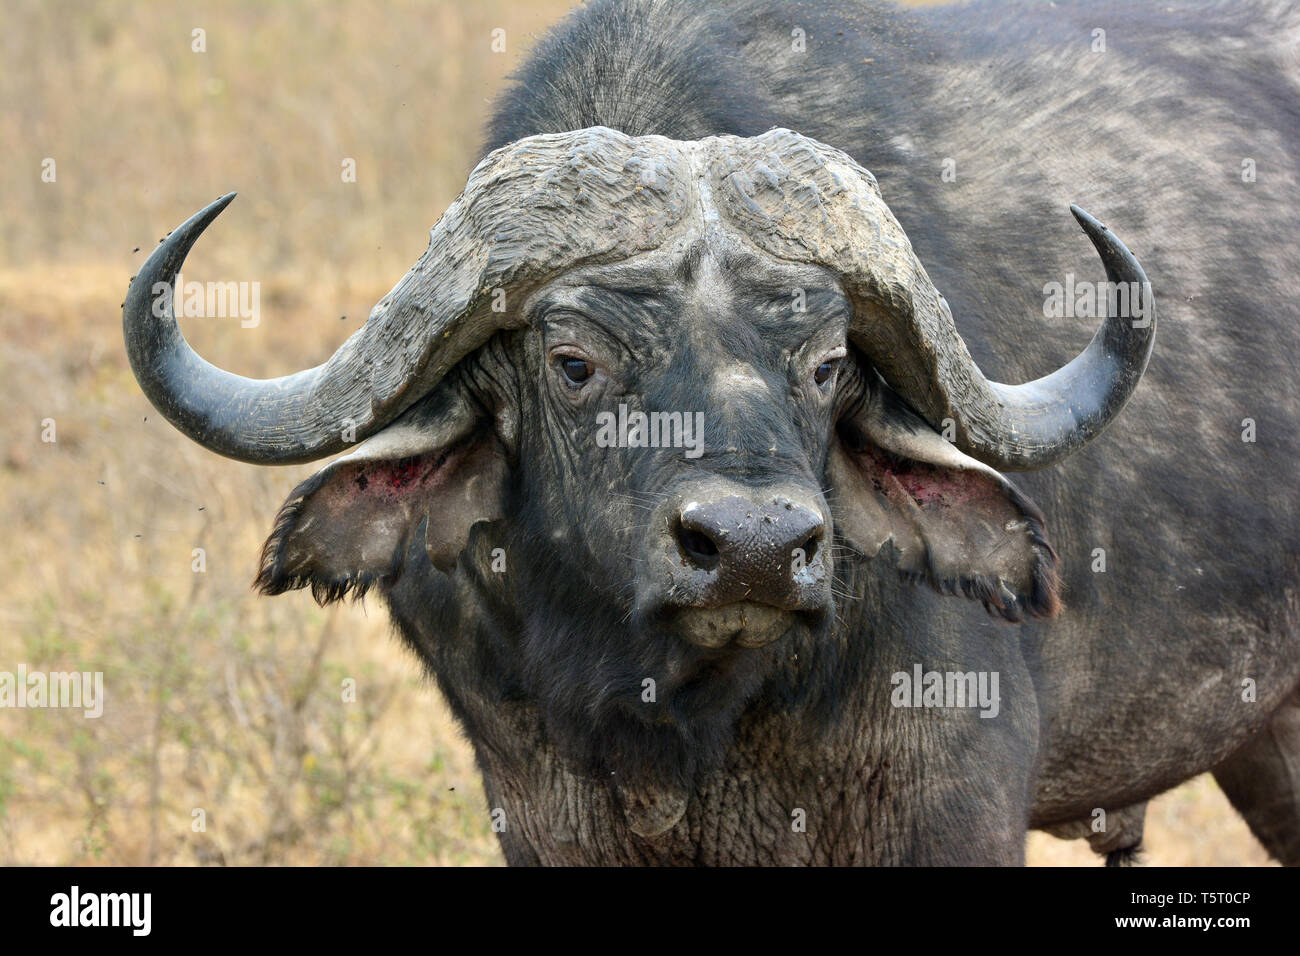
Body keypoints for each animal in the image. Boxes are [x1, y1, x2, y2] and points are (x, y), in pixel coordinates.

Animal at [122, 0, 1300, 868]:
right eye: (574, 363)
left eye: (826, 364)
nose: (754, 550)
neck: (675, 730)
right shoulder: (543, 816)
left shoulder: (946, 808)